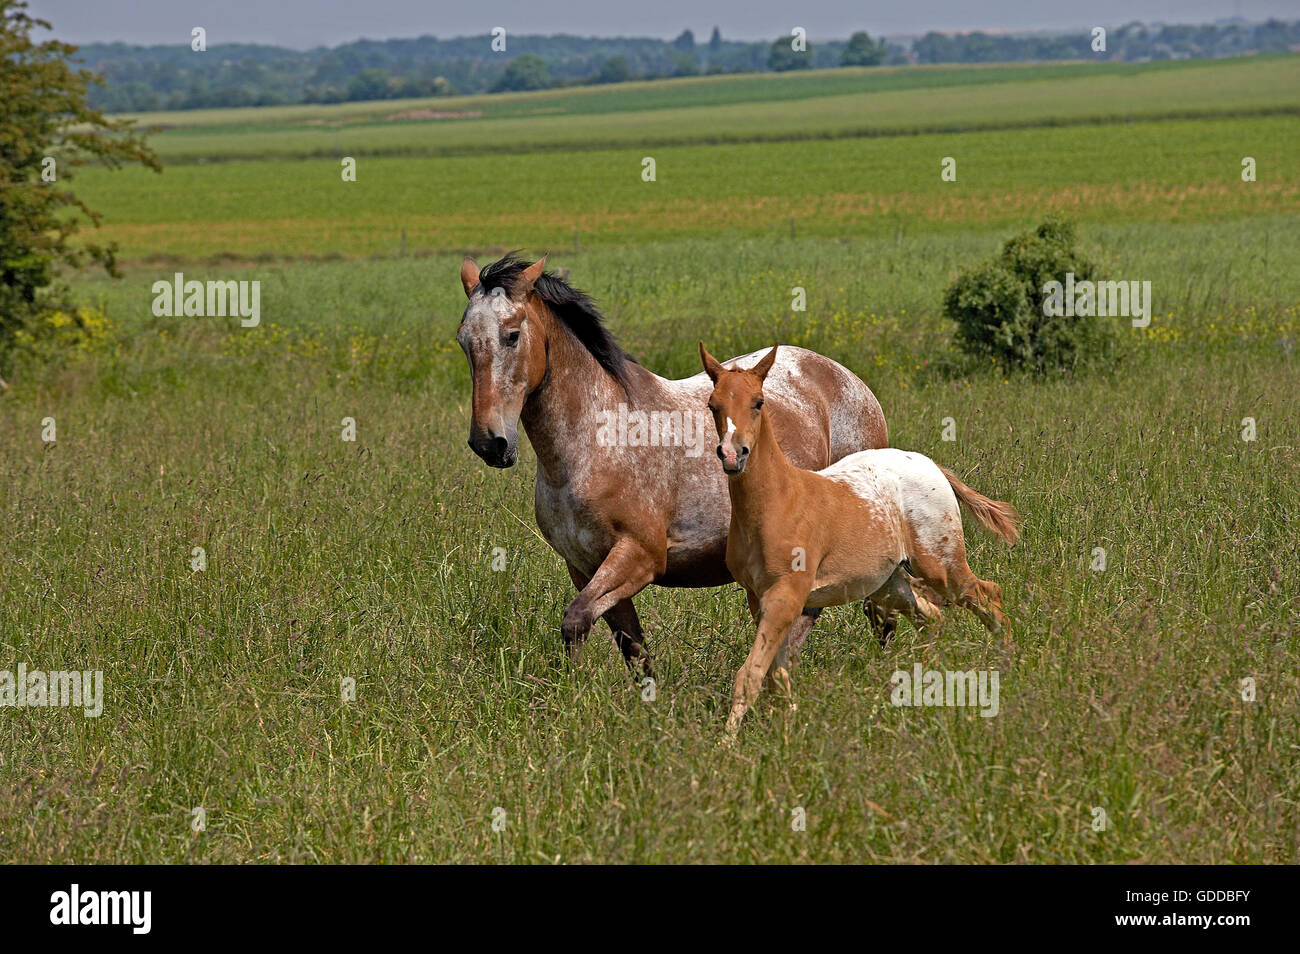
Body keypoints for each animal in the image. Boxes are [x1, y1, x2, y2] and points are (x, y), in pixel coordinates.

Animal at [696, 343, 1019, 738]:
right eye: (713, 405)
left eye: (758, 402)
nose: (732, 454)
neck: (777, 499)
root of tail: (929, 464)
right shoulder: (759, 598)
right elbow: (778, 672)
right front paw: (789, 729)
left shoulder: (786, 594)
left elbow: (751, 674)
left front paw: (727, 743)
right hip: (887, 582)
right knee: (931, 615)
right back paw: (926, 680)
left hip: (941, 566)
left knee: (987, 593)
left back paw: (1007, 660)